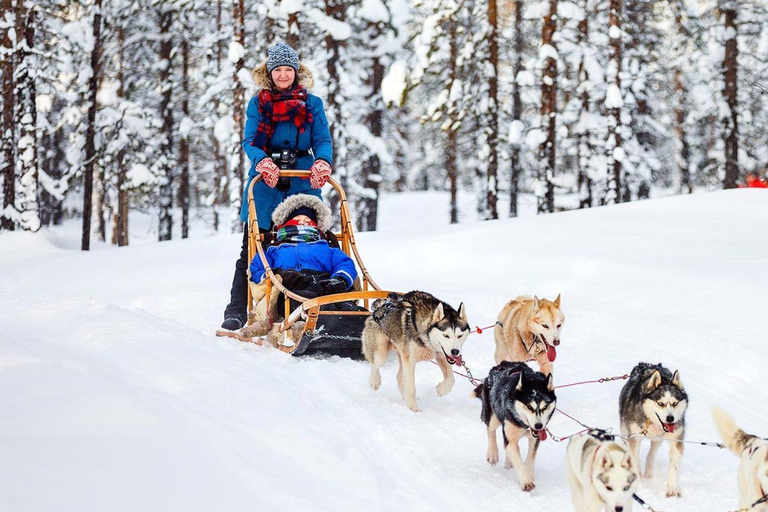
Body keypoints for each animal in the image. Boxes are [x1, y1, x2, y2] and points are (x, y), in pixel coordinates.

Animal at [472, 362, 556, 490]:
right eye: (529, 406)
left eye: (545, 407)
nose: (538, 426)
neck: (523, 424)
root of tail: (503, 364)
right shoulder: (510, 439)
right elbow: (518, 461)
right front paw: (526, 481)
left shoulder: (534, 438)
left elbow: (530, 458)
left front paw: (529, 474)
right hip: (493, 417)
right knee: (490, 430)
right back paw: (493, 453)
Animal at [616, 360, 688, 496]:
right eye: (660, 403)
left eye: (675, 403)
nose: (670, 418)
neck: (653, 422)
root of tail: (648, 364)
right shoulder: (634, 438)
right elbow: (635, 460)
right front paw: (638, 484)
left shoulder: (676, 441)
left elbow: (674, 466)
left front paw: (673, 488)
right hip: (625, 431)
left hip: (657, 439)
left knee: (651, 454)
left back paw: (648, 473)